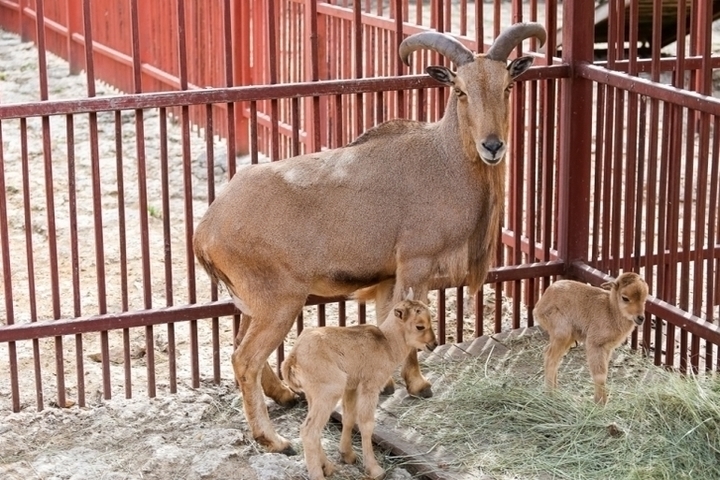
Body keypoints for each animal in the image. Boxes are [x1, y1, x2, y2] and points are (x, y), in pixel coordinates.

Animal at [191, 21, 544, 454]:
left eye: (507, 86)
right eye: (460, 90)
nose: (493, 146)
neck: (444, 160)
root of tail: (206, 228)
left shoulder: (388, 275)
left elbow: (384, 320)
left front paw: (389, 381)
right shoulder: (417, 262)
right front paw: (419, 385)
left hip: (252, 302)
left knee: (239, 348)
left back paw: (286, 396)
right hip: (279, 302)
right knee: (245, 359)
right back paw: (274, 439)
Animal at [282, 292, 438, 480]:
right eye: (420, 326)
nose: (434, 344)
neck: (387, 344)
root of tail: (293, 357)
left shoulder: (351, 387)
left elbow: (349, 417)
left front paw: (347, 455)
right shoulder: (370, 385)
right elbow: (366, 423)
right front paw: (375, 469)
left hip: (314, 393)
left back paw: (327, 466)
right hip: (330, 390)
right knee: (309, 431)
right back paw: (318, 474)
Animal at [532, 272, 648, 404]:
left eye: (645, 299)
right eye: (625, 298)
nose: (640, 318)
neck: (610, 311)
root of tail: (538, 307)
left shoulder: (607, 348)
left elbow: (604, 372)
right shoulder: (594, 343)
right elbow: (599, 375)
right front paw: (600, 403)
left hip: (566, 337)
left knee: (551, 355)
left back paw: (556, 392)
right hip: (562, 332)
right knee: (550, 357)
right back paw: (550, 395)